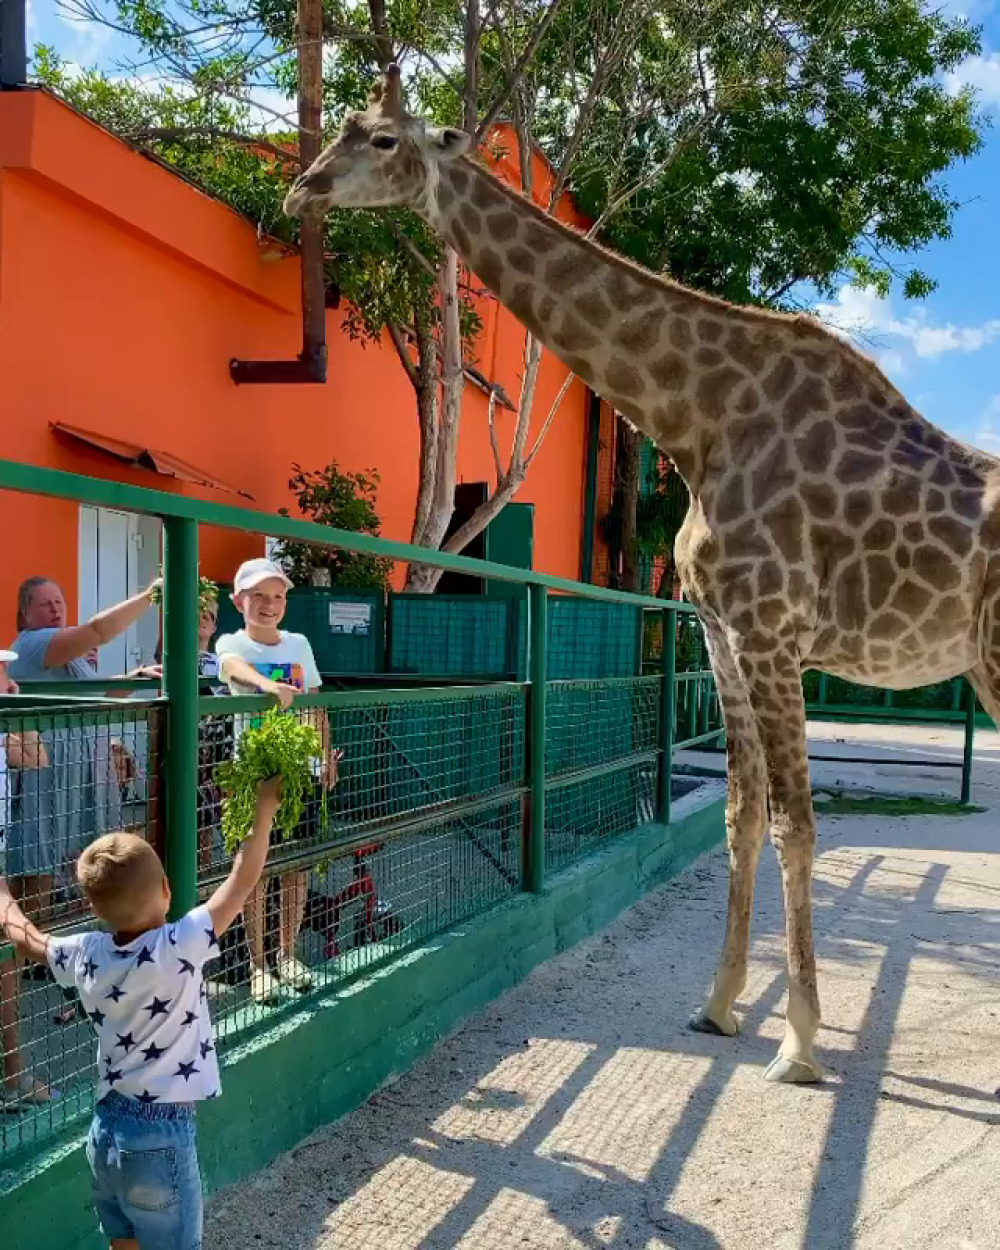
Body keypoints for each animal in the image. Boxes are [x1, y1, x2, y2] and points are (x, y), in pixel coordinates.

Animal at [283, 65, 1000, 1085]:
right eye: (347, 127)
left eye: (380, 139)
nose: (302, 189)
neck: (700, 421)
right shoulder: (723, 635)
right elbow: (743, 814)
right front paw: (720, 1007)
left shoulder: (773, 632)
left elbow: (798, 824)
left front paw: (800, 1045)